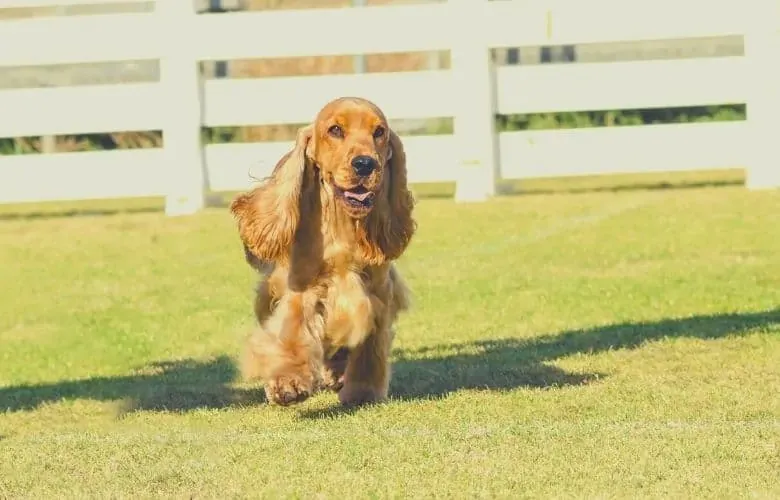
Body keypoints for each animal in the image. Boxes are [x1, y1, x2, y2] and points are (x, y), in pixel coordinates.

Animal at [230, 96, 418, 406]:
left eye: (379, 132)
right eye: (335, 130)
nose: (365, 164)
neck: (341, 223)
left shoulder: (377, 290)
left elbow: (369, 344)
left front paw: (363, 389)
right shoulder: (301, 288)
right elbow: (292, 333)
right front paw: (288, 383)